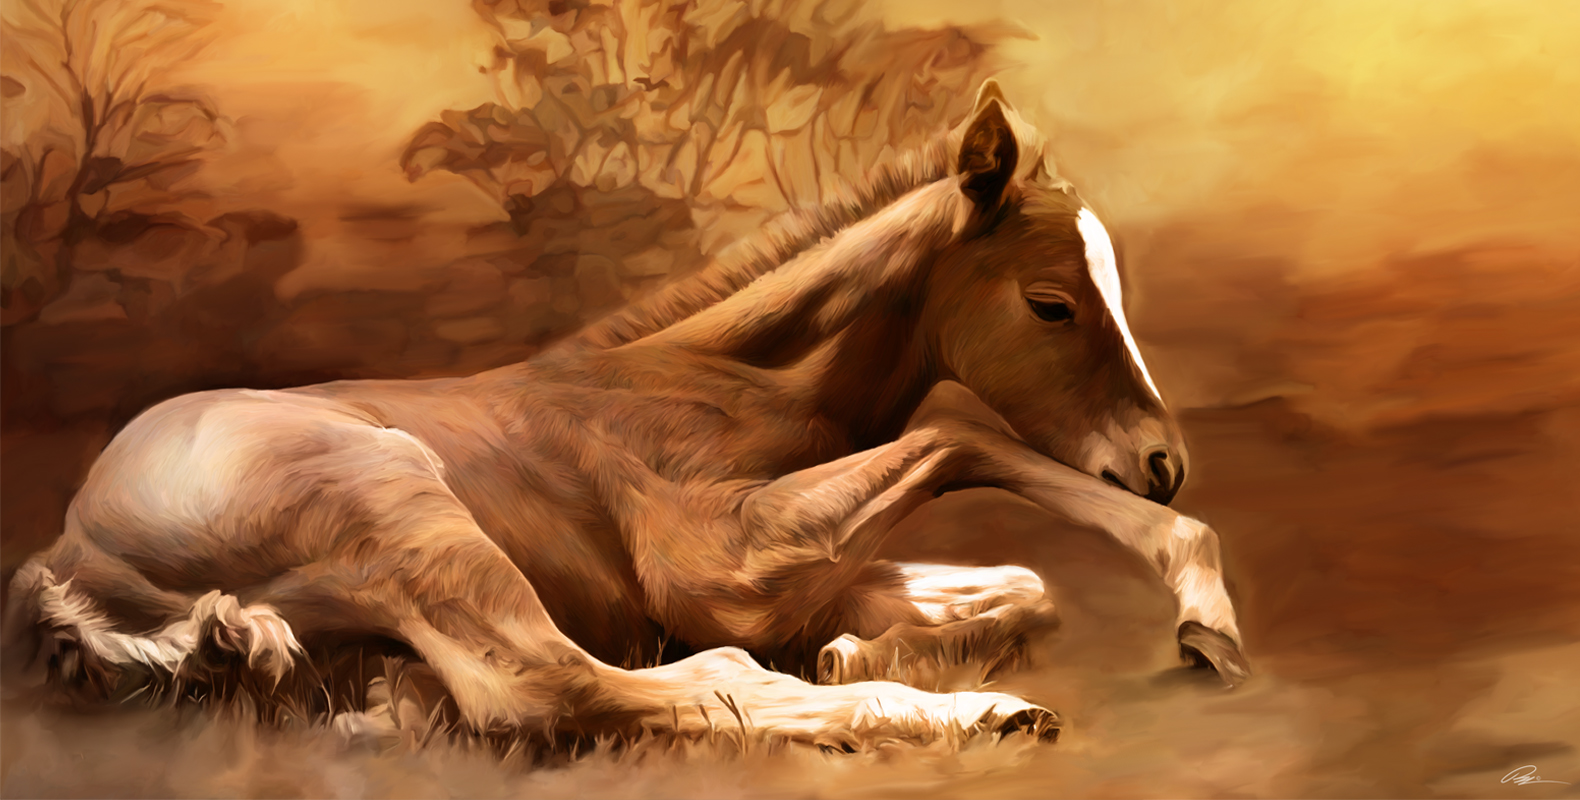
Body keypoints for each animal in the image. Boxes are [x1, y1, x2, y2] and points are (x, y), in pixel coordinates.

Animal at [4, 82, 1249, 749]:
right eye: (1049, 302)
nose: (1161, 462)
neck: (714, 379)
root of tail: (69, 551)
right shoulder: (716, 565)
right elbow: (959, 436)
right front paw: (1205, 613)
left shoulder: (812, 564)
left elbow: (1021, 583)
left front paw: (862, 642)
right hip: (399, 510)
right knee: (559, 685)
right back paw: (979, 712)